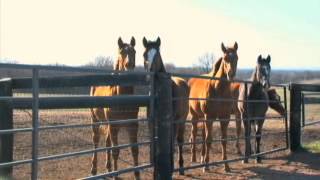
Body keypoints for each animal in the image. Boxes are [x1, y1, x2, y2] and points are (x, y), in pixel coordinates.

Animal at [89, 36, 141, 179]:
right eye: (122, 52)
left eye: (134, 51)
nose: (129, 66)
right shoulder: (114, 125)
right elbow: (116, 151)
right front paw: (116, 175)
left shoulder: (132, 125)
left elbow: (134, 149)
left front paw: (137, 174)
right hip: (96, 120)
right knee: (96, 141)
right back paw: (94, 169)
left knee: (107, 142)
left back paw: (108, 168)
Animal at [141, 37, 189, 176]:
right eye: (144, 54)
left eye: (157, 55)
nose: (149, 76)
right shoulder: (151, 122)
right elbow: (154, 145)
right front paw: (154, 171)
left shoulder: (171, 122)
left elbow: (171, 144)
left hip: (181, 121)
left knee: (179, 141)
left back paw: (181, 167)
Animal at [189, 41, 239, 172]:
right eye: (225, 58)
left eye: (236, 58)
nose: (231, 75)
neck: (219, 90)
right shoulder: (210, 117)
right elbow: (209, 140)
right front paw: (206, 166)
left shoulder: (225, 118)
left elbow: (223, 140)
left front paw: (226, 165)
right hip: (195, 116)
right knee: (194, 134)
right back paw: (193, 158)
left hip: (203, 118)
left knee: (202, 135)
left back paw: (201, 158)